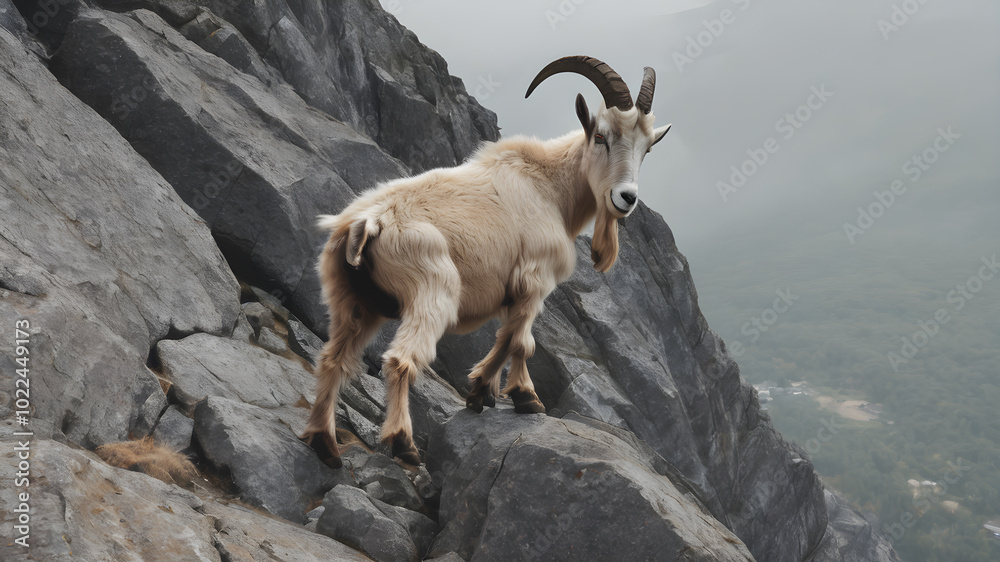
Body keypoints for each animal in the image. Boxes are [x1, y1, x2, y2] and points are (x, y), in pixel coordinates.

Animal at [300, 56, 671, 467]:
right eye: (602, 136)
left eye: (647, 148)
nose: (626, 198)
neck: (551, 187)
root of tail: (367, 223)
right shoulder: (535, 280)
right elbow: (521, 341)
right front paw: (524, 397)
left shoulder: (512, 291)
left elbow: (506, 336)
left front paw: (482, 391)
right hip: (432, 291)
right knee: (400, 360)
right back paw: (403, 443)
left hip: (353, 301)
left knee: (333, 360)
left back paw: (324, 443)